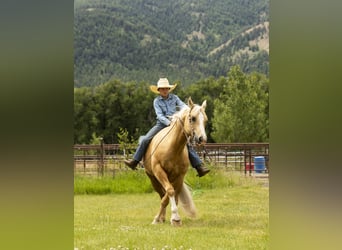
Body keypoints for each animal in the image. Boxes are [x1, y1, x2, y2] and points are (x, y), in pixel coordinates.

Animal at [143, 97, 207, 227]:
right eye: (193, 118)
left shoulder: (179, 176)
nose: (202, 139)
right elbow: (169, 192)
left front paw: (174, 219)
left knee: (166, 196)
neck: (172, 148)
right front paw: (171, 218)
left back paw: (162, 217)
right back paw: (160, 218)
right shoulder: (159, 171)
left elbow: (171, 195)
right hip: (153, 178)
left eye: (206, 120)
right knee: (161, 194)